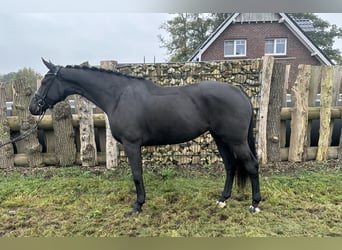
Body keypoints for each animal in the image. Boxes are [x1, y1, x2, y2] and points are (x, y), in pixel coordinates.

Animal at [30, 58, 262, 213]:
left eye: (45, 82)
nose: (33, 107)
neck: (118, 96)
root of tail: (240, 92)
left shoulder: (132, 144)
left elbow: (136, 174)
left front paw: (138, 205)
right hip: (220, 138)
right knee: (230, 166)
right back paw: (223, 199)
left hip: (236, 140)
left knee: (251, 165)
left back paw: (255, 204)